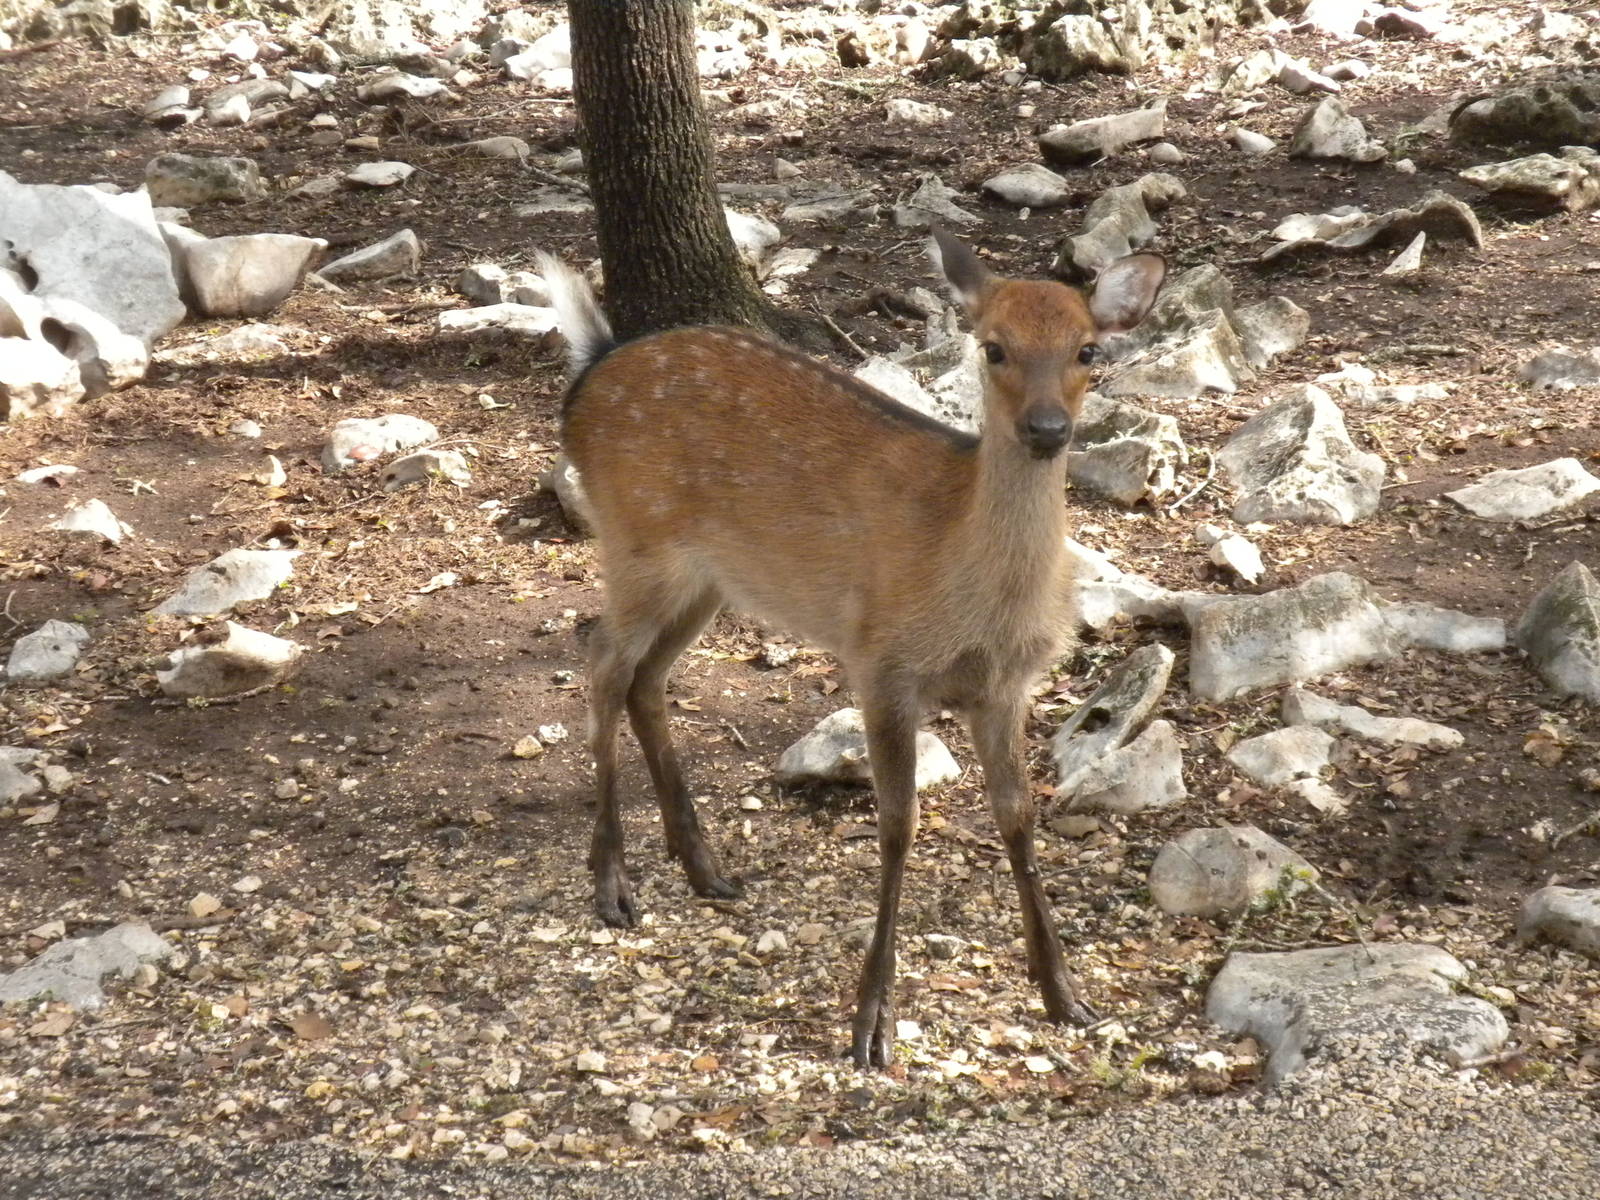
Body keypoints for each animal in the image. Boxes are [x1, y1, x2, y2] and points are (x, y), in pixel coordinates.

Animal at [537, 230, 1165, 1067]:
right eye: (993, 347)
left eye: (1088, 349)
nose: (1046, 429)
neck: (968, 581)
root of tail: (592, 366)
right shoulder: (882, 661)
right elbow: (898, 823)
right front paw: (871, 1024)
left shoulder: (1005, 686)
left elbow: (1018, 815)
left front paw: (1065, 994)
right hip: (634, 541)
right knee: (603, 662)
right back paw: (611, 884)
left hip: (708, 580)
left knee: (645, 680)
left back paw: (706, 869)